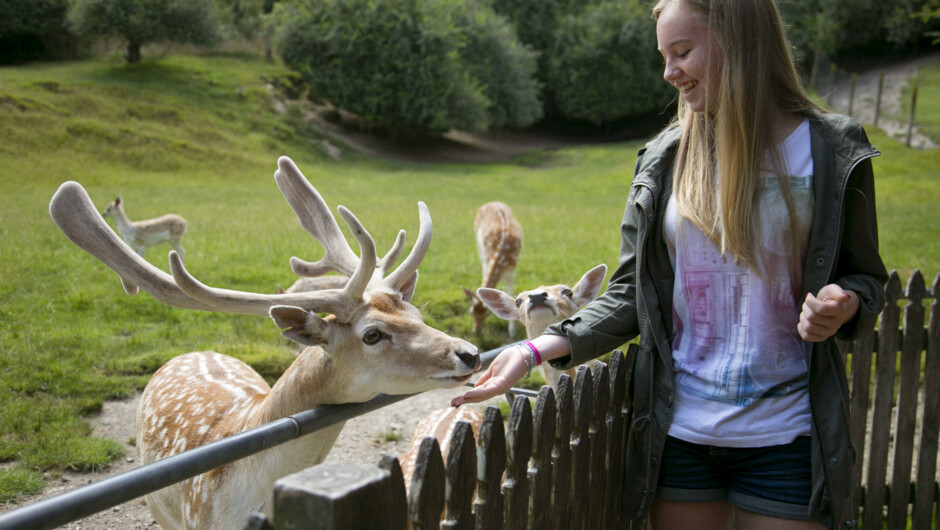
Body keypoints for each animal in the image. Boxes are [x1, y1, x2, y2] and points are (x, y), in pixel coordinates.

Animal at [462, 201, 520, 334]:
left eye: (487, 314)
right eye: (471, 312)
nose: (476, 331)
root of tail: (493, 203)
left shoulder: (512, 270)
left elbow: (511, 292)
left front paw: (512, 331)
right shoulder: (486, 259)